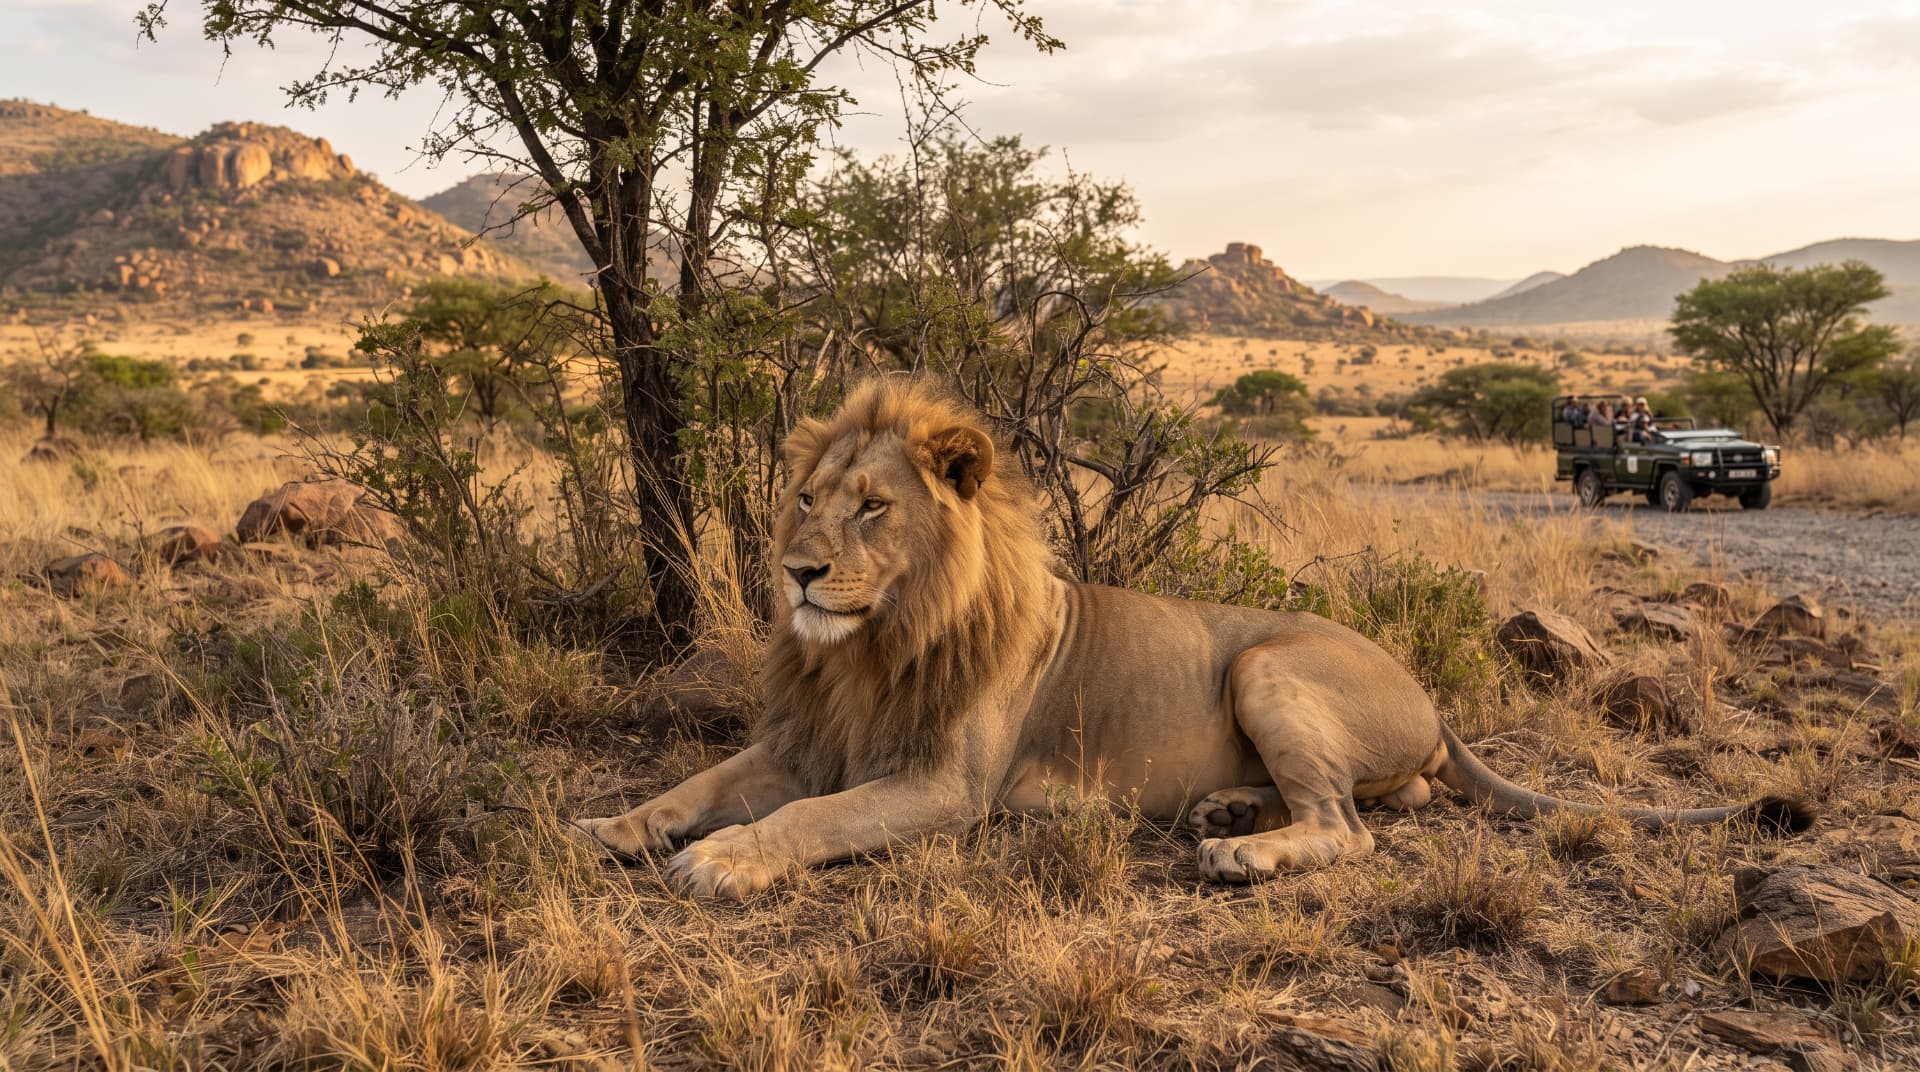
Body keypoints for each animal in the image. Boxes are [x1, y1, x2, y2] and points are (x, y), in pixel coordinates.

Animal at [576, 380, 1808, 898]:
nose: (797, 568)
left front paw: (722, 860)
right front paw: (609, 828)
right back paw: (1227, 812)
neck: (870, 647)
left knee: (1351, 829)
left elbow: (804, 820)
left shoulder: (943, 785)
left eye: (873, 509)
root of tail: (1433, 697)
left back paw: (1239, 850)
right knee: (1379, 800)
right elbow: (697, 784)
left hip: (1266, 664)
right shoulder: (803, 742)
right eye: (806, 499)